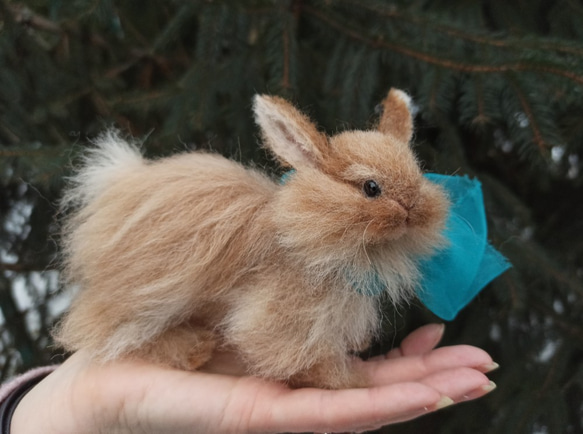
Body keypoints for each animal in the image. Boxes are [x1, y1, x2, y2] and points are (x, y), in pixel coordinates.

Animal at [53, 89, 448, 390]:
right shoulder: (281, 317)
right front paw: (345, 380)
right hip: (141, 296)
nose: (413, 209)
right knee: (104, 331)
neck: (302, 236)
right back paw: (194, 349)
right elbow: (290, 354)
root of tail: (114, 187)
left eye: (418, 174)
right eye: (371, 187)